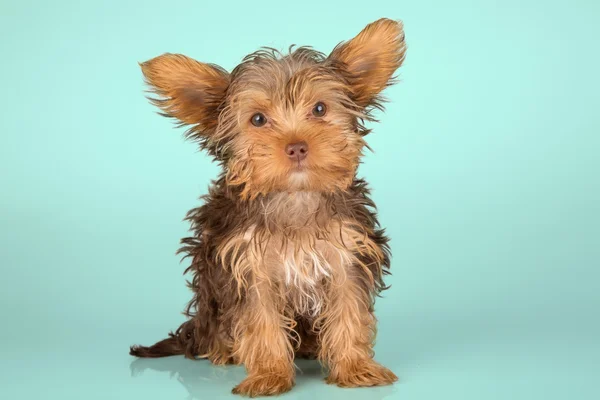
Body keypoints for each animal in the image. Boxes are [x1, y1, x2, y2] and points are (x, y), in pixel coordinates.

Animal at [129, 17, 406, 396]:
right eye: (258, 119)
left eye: (320, 109)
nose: (297, 146)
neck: (294, 197)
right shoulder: (247, 267)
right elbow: (260, 321)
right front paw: (270, 374)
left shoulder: (347, 256)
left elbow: (349, 310)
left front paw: (355, 366)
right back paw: (223, 351)